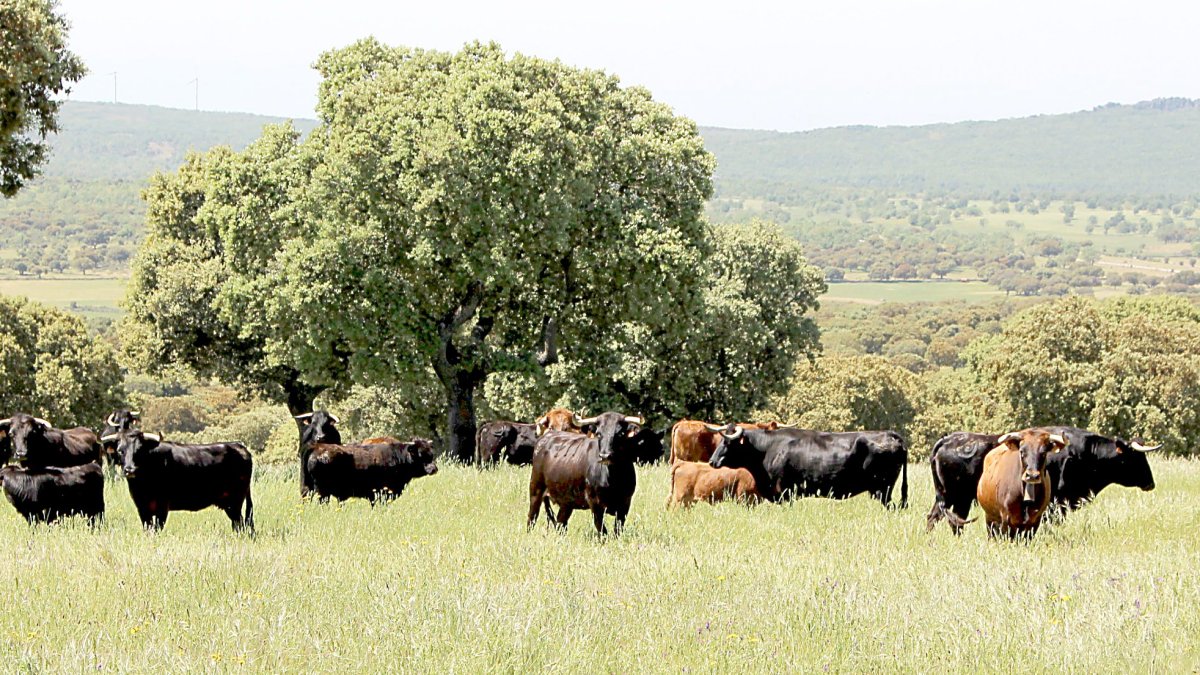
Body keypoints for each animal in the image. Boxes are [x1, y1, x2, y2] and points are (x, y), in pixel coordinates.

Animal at [104, 430, 254, 532]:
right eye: (120, 450)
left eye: (139, 450)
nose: (130, 470)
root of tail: (238, 446)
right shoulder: (142, 508)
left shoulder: (162, 506)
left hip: (235, 501)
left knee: (240, 524)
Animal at [305, 437, 439, 504]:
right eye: (420, 454)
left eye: (431, 454)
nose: (434, 469)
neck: (398, 457)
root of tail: (318, 448)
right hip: (323, 493)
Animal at [708, 426, 908, 508]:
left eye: (727, 442)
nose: (712, 461)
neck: (768, 449)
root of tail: (892, 435)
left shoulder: (785, 492)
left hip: (883, 489)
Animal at [926, 427, 1160, 533]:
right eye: (1136, 457)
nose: (1151, 483)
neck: (1084, 455)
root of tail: (948, 439)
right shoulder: (1057, 504)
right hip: (957, 497)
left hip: (952, 498)